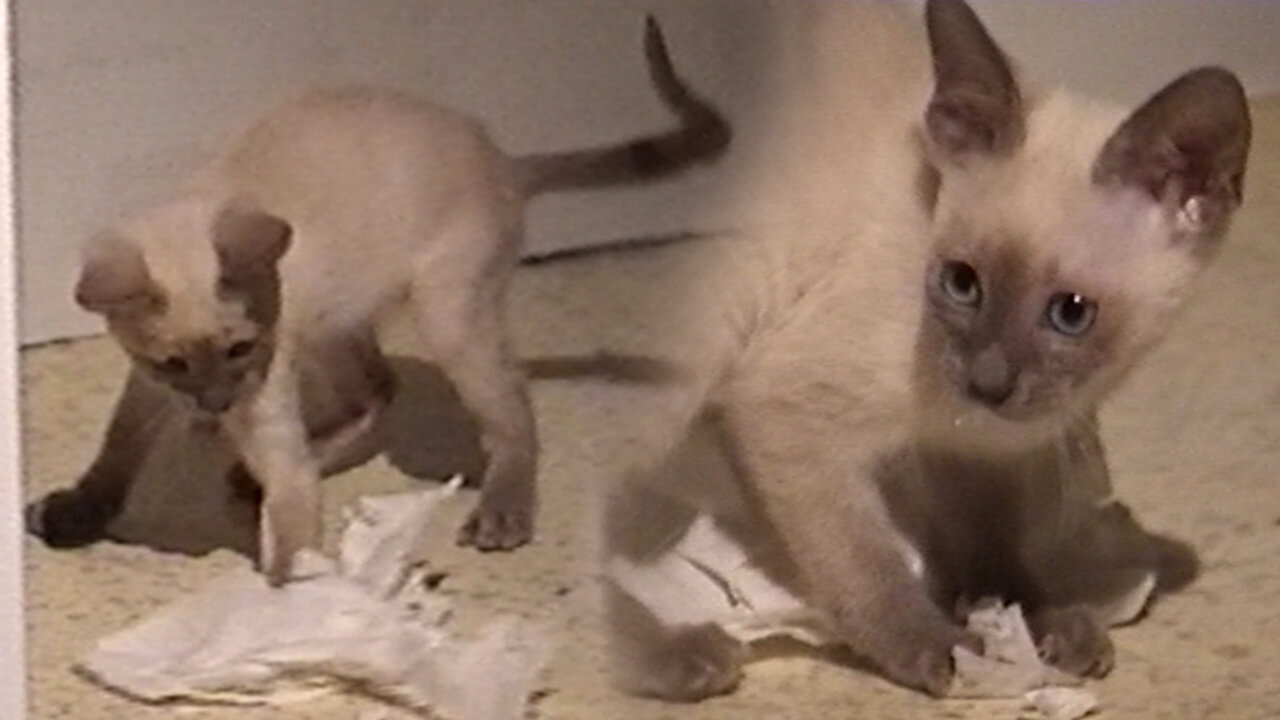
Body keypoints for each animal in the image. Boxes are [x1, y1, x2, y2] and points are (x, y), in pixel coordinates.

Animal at [27, 18, 732, 584]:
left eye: (239, 350)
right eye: (173, 363)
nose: (215, 406)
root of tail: (502, 160)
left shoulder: (265, 388)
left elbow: (291, 519)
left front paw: (285, 614)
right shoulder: (149, 387)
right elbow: (116, 452)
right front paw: (76, 513)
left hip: (443, 316)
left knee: (510, 411)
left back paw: (501, 514)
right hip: (332, 322)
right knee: (378, 389)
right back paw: (257, 473)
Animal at [601, 0, 1249, 696]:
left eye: (1071, 313)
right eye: (961, 283)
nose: (988, 383)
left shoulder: (989, 455)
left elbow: (997, 550)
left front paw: (1035, 623)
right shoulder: (789, 414)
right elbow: (867, 569)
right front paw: (944, 650)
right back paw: (674, 655)